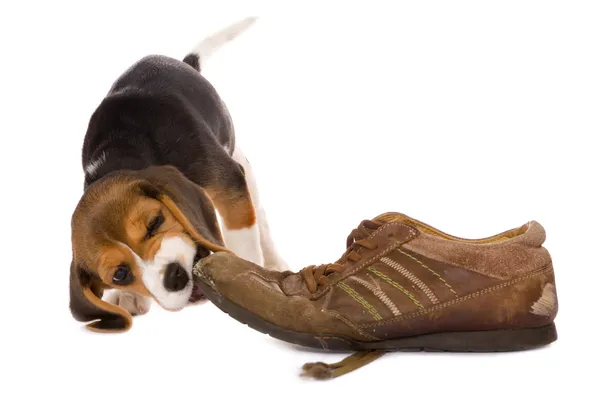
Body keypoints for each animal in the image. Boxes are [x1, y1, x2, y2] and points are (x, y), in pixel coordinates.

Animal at [69, 17, 286, 332]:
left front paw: (247, 280)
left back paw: (273, 262)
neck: (124, 152)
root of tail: (183, 63)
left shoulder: (228, 181)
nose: (174, 276)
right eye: (120, 274)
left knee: (260, 218)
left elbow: (242, 237)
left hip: (238, 160)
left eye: (154, 222)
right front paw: (128, 297)